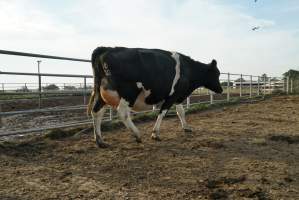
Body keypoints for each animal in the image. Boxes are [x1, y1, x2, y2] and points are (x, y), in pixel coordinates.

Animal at [86, 46, 223, 147]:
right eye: (217, 73)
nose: (221, 89)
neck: (188, 69)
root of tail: (106, 49)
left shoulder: (177, 96)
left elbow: (181, 112)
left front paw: (186, 127)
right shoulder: (172, 96)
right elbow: (162, 113)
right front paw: (155, 134)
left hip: (101, 93)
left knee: (96, 112)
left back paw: (100, 141)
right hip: (129, 92)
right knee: (123, 113)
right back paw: (137, 135)